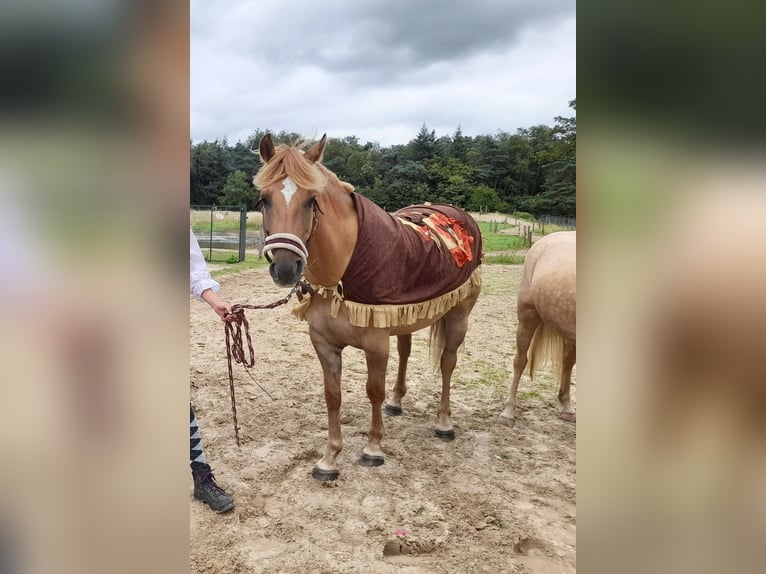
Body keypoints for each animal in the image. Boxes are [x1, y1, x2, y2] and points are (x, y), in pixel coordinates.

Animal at [255, 135, 484, 482]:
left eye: (311, 200)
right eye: (264, 199)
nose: (285, 269)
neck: (340, 275)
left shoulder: (376, 344)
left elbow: (373, 390)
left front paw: (373, 448)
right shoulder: (324, 343)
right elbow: (332, 395)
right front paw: (330, 458)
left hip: (459, 316)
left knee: (447, 363)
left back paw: (444, 423)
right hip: (405, 318)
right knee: (405, 352)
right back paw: (396, 402)